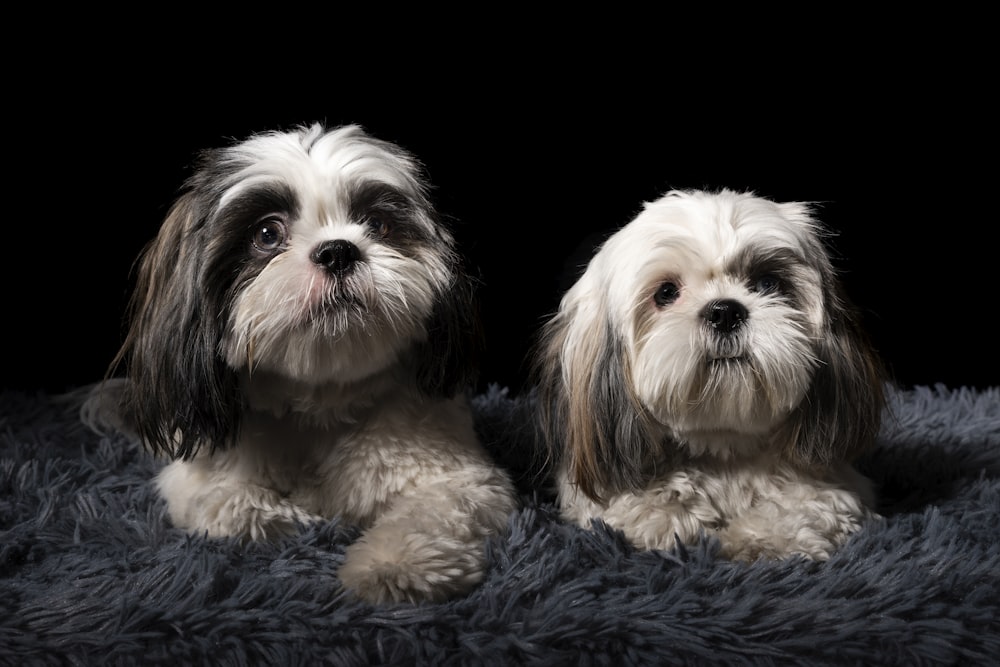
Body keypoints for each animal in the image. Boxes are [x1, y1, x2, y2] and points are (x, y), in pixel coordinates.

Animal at [90, 121, 520, 604]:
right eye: (266, 234)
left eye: (378, 224)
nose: (338, 250)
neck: (322, 404)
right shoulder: (192, 478)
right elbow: (223, 504)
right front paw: (286, 519)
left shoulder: (462, 477)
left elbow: (433, 512)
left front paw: (394, 567)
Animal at [536, 188, 888, 564]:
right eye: (666, 293)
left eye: (767, 283)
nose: (725, 312)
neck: (722, 447)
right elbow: (645, 513)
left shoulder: (837, 489)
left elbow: (805, 510)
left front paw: (757, 537)